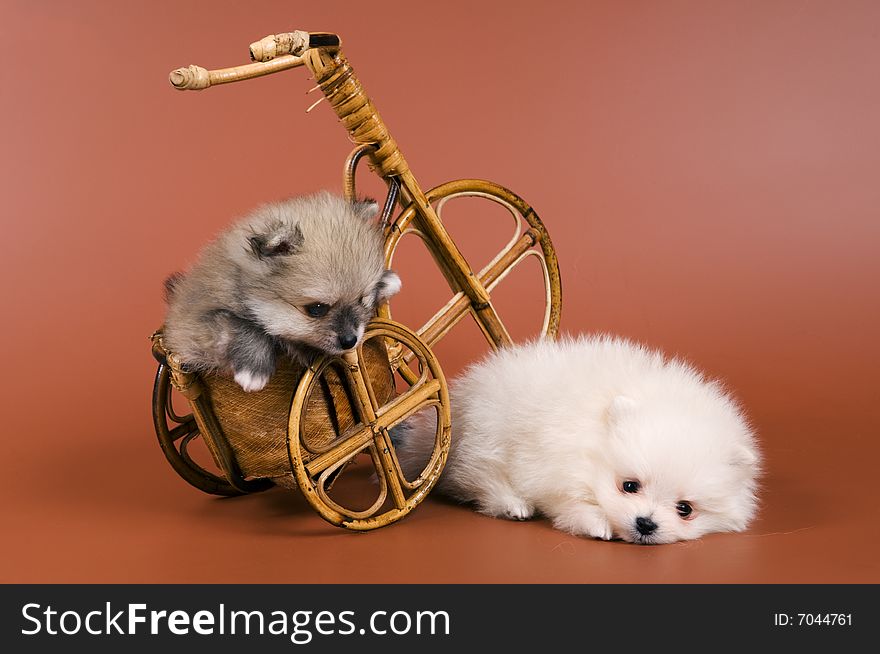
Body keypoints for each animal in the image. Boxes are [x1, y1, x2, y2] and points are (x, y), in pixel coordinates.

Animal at [396, 336, 760, 544]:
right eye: (630, 486)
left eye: (685, 509)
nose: (645, 523)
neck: (591, 441)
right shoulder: (551, 467)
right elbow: (569, 504)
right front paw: (596, 523)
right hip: (489, 436)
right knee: (481, 476)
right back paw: (513, 505)